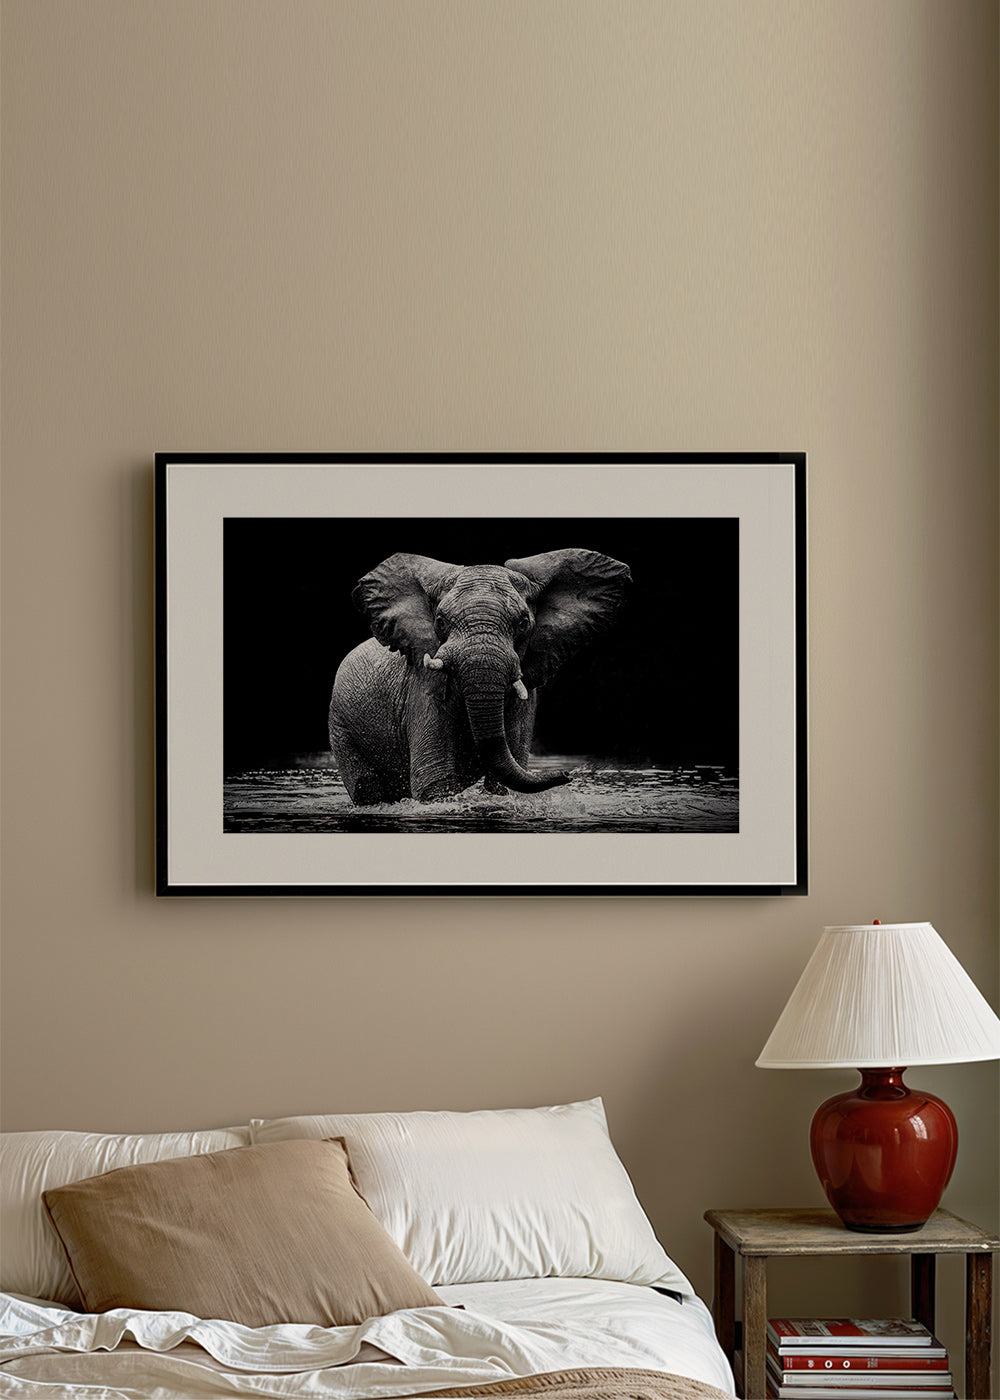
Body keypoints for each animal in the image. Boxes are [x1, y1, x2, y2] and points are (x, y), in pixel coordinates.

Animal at [329, 547, 631, 805]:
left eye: (523, 623)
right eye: (440, 622)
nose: (567, 774)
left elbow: (504, 783)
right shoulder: (424, 687)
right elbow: (435, 783)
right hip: (340, 727)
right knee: (366, 788)